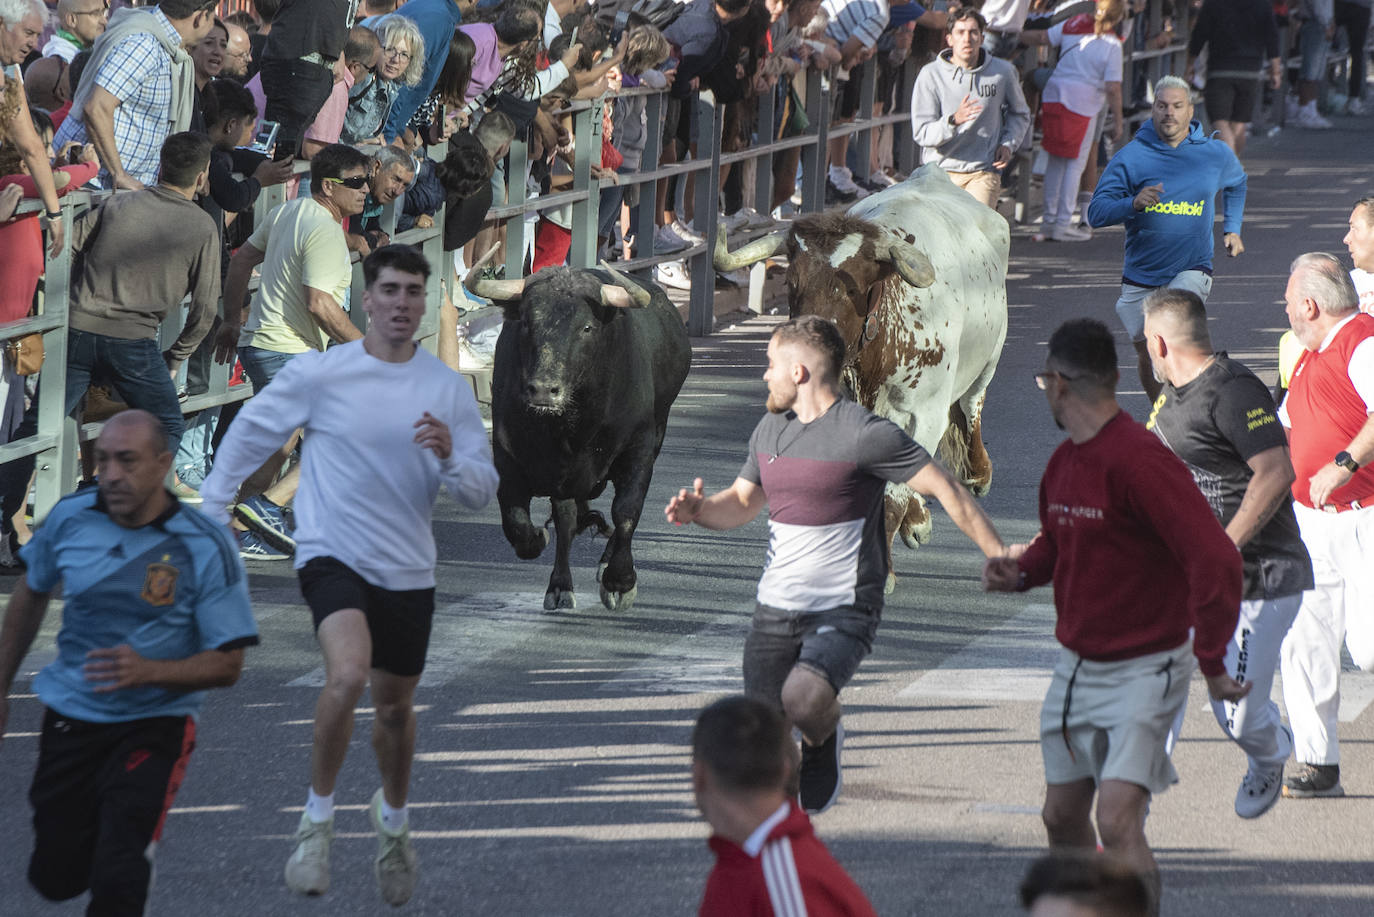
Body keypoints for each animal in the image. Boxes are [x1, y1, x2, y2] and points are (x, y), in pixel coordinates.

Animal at [486, 266, 692, 610]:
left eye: (586, 327)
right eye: (527, 322)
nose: (543, 389)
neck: (571, 427)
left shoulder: (639, 448)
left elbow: (626, 512)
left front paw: (620, 581)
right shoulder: (507, 455)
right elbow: (518, 522)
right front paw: (539, 540)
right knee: (566, 521)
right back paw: (559, 586)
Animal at [719, 162, 1011, 596]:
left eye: (847, 288)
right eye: (790, 284)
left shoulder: (922, 416)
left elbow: (892, 496)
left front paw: (881, 569)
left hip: (990, 356)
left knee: (972, 404)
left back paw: (977, 473)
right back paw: (918, 519)